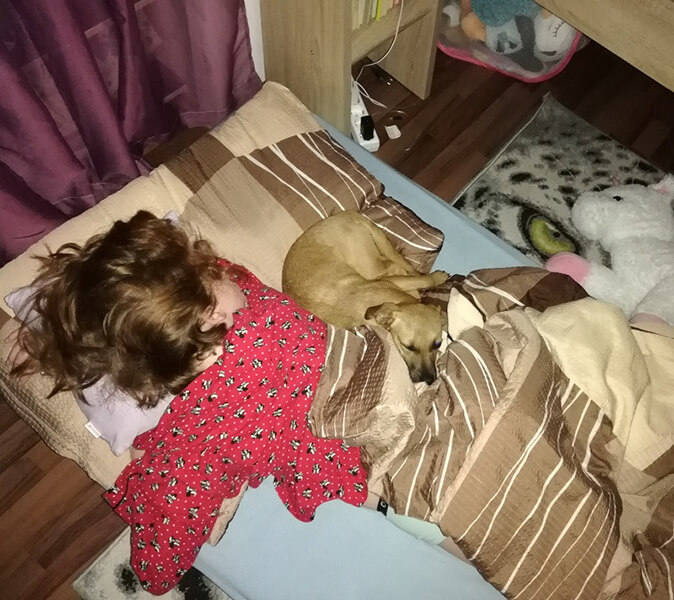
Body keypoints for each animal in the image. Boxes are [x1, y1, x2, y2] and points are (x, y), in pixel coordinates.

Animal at [282, 211, 448, 384]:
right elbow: (422, 280)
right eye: (407, 346)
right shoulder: (390, 281)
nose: (429, 379)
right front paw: (434, 279)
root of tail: (347, 215)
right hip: (372, 266)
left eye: (437, 344)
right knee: (393, 264)